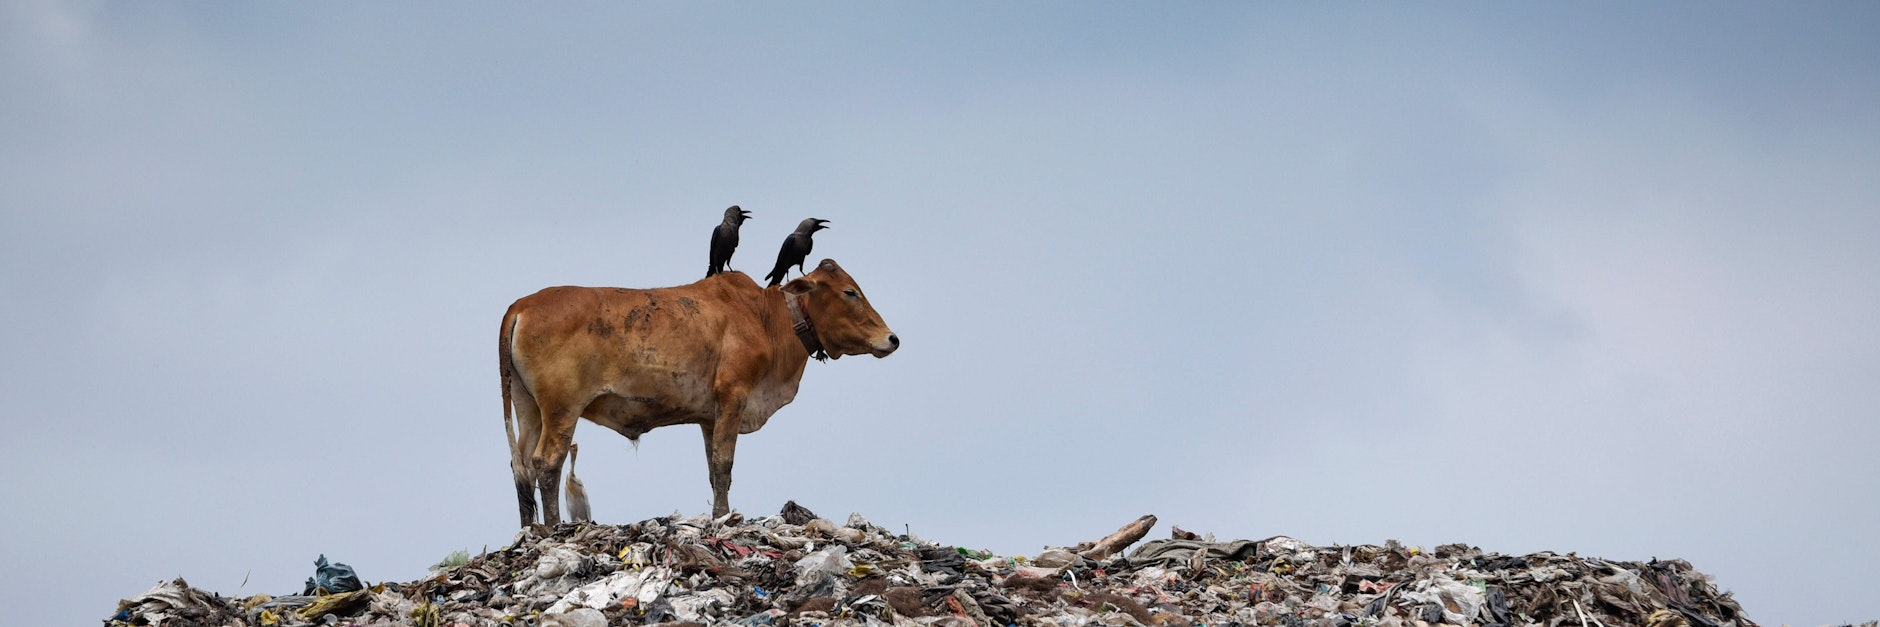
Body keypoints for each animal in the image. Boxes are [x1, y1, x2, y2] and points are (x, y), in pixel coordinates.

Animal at [498, 259, 898, 527]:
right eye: (849, 292)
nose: (891, 338)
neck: (764, 318)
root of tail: (521, 305)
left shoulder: (710, 416)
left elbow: (712, 468)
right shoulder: (734, 396)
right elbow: (724, 465)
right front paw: (723, 518)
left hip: (528, 408)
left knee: (522, 467)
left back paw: (529, 530)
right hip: (561, 409)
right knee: (546, 462)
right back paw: (553, 528)